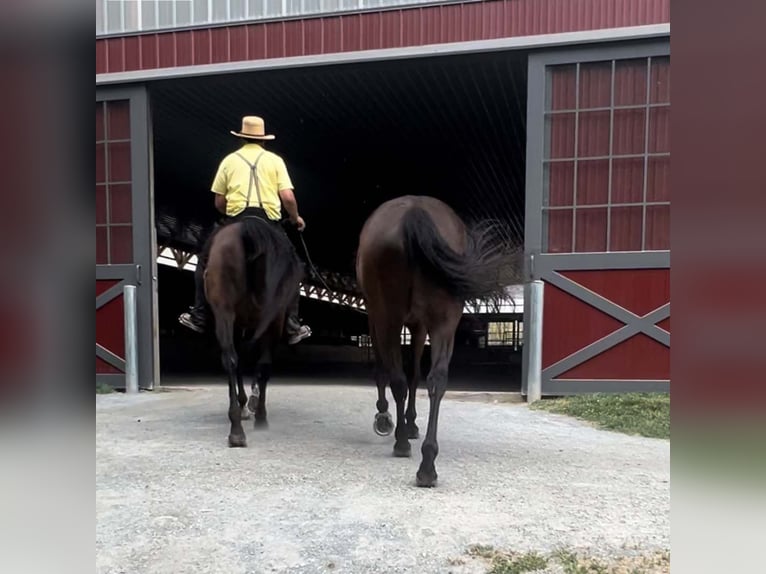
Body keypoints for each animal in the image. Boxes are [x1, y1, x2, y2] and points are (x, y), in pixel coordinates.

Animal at [206, 218, 304, 448]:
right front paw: (255, 409)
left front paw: (247, 405)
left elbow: (243, 363)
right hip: (267, 319)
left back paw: (236, 430)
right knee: (254, 363)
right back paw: (248, 420)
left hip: (226, 313)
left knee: (232, 360)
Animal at [356, 196, 512, 488]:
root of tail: (414, 212)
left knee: (399, 380)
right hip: (443, 322)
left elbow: (389, 371)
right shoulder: (419, 326)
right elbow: (416, 376)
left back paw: (402, 442)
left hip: (390, 318)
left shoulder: (383, 319)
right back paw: (427, 465)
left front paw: (386, 418)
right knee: (436, 381)